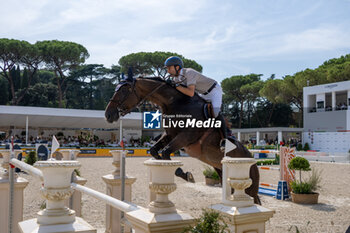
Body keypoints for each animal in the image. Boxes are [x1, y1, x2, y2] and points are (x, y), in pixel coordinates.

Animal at [104, 76, 260, 204]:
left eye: (124, 90)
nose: (108, 115)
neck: (174, 103)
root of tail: (252, 160)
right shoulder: (170, 135)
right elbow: (155, 151)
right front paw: (178, 172)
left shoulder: (186, 137)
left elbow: (166, 152)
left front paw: (187, 175)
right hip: (222, 172)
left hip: (249, 185)